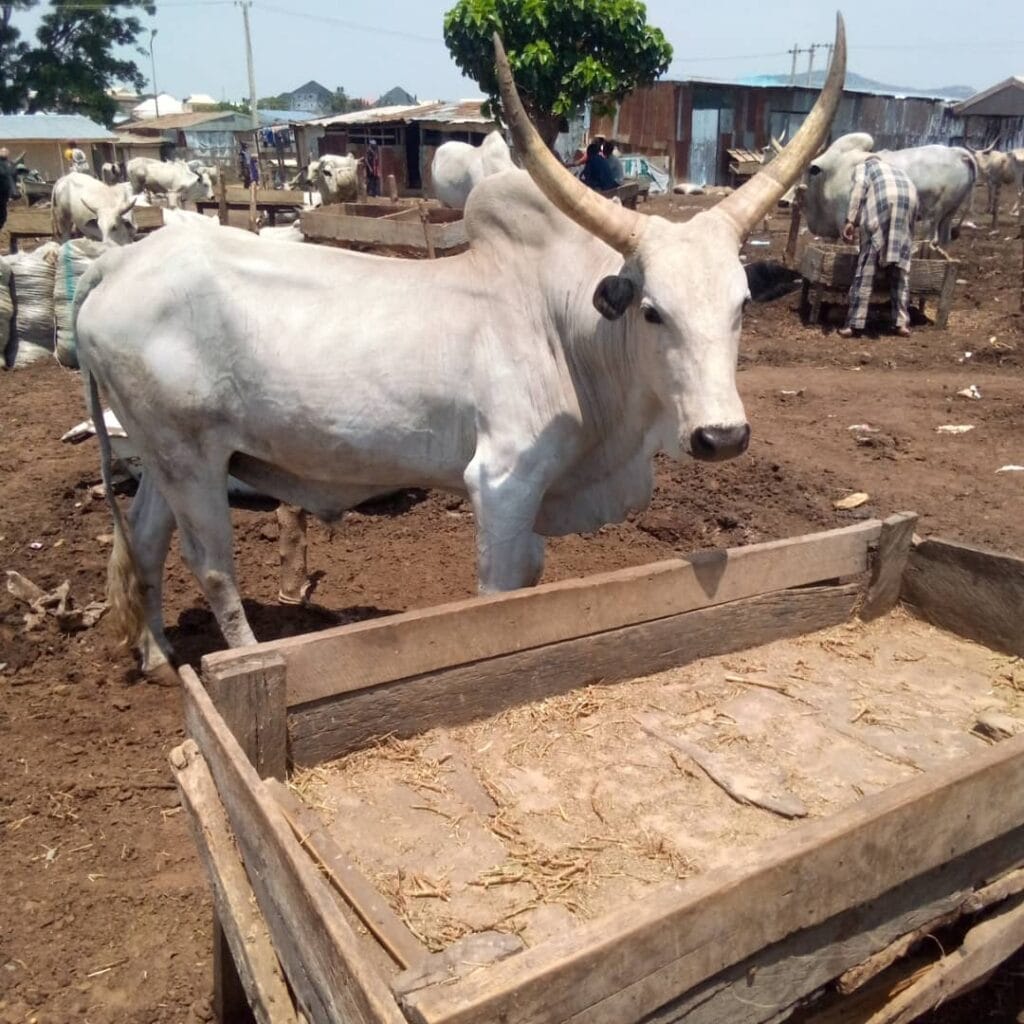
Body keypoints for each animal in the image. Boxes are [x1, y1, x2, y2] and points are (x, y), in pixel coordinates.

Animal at [74, 19, 847, 683]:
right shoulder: (502, 484)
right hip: (191, 459)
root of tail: (119, 262)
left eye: (741, 306)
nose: (722, 436)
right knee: (212, 568)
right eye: (654, 310)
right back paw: (243, 658)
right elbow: (498, 595)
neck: (566, 329)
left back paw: (156, 654)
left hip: (164, 457)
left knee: (141, 540)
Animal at [803, 133, 975, 244]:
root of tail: (959, 153)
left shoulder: (843, 218)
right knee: (945, 239)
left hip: (933, 215)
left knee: (932, 239)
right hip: (949, 212)